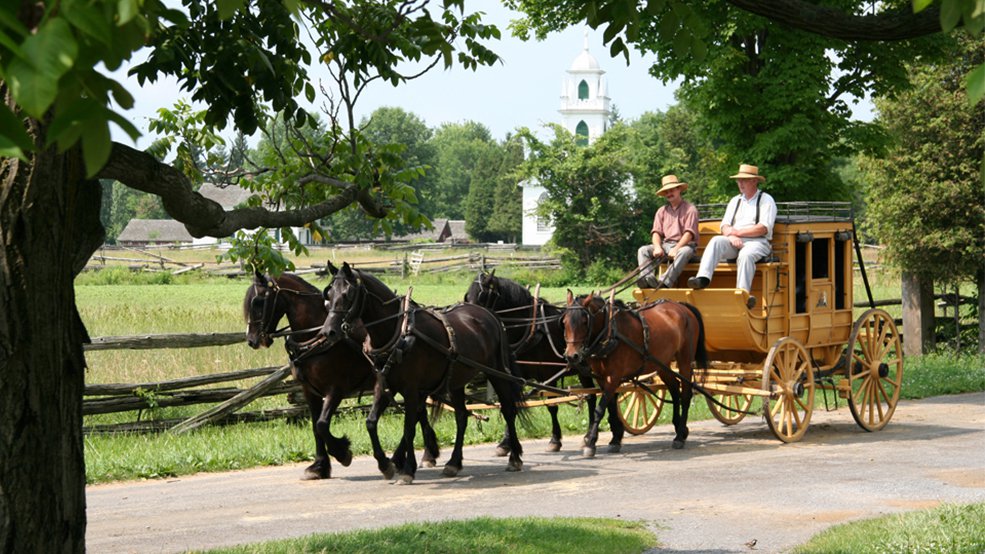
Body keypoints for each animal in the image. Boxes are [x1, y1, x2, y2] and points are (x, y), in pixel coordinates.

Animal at [242, 270, 438, 476]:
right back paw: (423, 455)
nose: (252, 340)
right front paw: (320, 465)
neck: (317, 336)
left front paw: (342, 452)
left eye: (258, 301)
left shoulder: (335, 390)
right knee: (419, 413)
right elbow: (315, 427)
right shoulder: (309, 391)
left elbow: (321, 425)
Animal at [320, 260, 528, 480]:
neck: (399, 333)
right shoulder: (385, 385)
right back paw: (454, 463)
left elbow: (409, 428)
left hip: (496, 371)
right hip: (456, 380)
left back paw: (514, 457)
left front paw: (407, 470)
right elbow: (371, 422)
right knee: (462, 416)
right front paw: (384, 464)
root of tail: (491, 315)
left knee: (508, 409)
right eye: (329, 294)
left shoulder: (411, 389)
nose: (328, 331)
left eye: (348, 294)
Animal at [462, 268, 616, 452]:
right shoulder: (517, 376)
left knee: (595, 396)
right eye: (467, 296)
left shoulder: (548, 375)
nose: (468, 319)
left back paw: (591, 435)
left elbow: (552, 406)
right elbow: (515, 402)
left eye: (483, 296)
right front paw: (505, 442)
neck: (532, 328)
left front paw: (555, 440)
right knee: (591, 396)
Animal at [560, 292, 708, 454]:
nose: (571, 356)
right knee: (675, 390)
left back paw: (680, 435)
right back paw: (679, 428)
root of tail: (682, 306)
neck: (610, 333)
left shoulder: (614, 376)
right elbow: (610, 405)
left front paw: (591, 441)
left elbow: (600, 408)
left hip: (685, 360)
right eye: (564, 322)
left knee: (686, 394)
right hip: (662, 363)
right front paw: (615, 439)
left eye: (584, 321)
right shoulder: (601, 377)